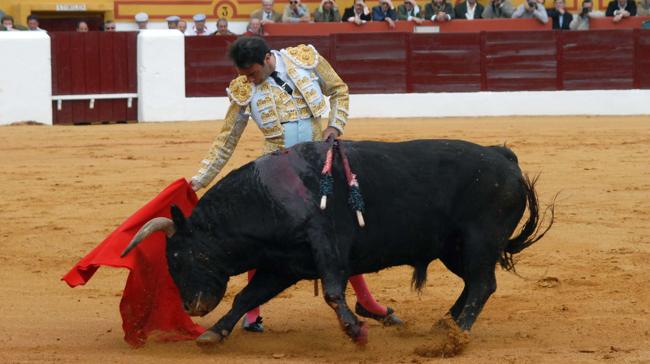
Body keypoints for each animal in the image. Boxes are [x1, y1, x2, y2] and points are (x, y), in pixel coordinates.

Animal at [121, 139, 552, 350]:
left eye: (183, 255)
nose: (192, 307)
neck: (266, 197)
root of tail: (503, 156)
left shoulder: (326, 245)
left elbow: (331, 290)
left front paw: (355, 332)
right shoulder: (283, 265)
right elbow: (246, 297)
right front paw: (214, 333)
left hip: (479, 240)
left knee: (482, 284)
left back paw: (455, 336)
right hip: (454, 248)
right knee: (473, 283)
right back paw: (443, 324)